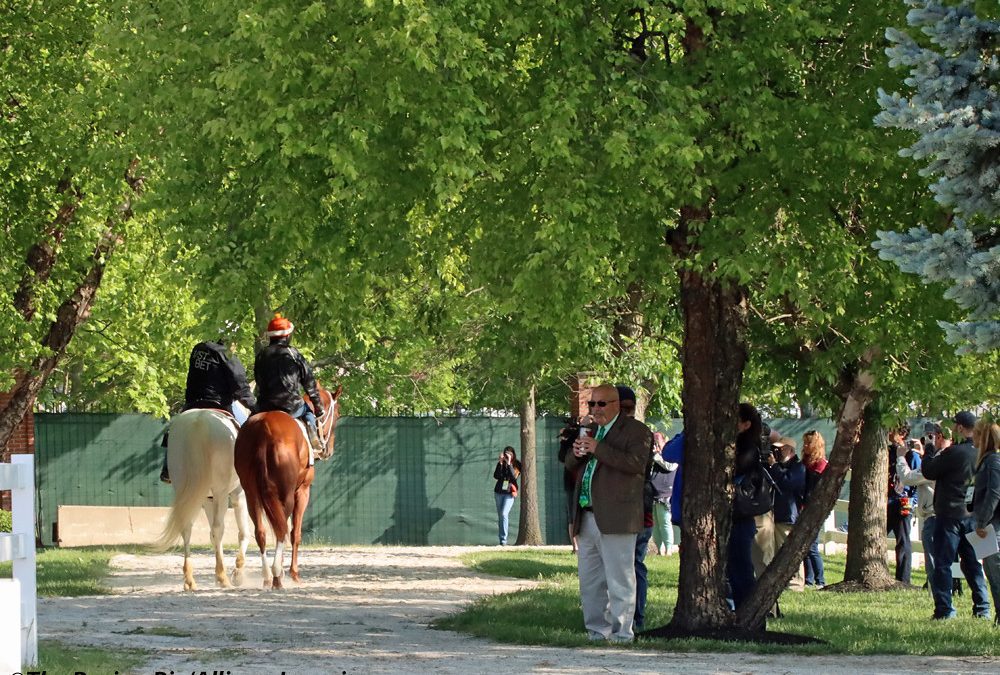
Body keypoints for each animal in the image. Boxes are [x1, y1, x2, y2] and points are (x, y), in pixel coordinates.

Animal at [155, 406, 254, 592]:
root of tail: (198, 421)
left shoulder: (208, 499)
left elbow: (213, 537)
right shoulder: (238, 494)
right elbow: (243, 532)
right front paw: (238, 572)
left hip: (189, 492)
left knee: (187, 527)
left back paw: (189, 580)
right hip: (221, 493)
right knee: (218, 528)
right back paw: (223, 577)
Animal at [232, 382, 342, 588]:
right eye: (338, 415)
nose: (329, 450)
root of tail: (263, 428)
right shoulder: (303, 492)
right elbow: (295, 533)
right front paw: (293, 573)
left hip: (252, 494)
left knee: (262, 532)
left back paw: (268, 576)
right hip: (286, 494)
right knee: (282, 529)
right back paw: (276, 576)